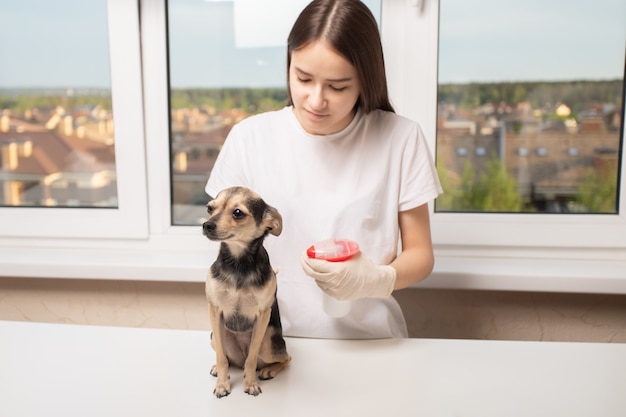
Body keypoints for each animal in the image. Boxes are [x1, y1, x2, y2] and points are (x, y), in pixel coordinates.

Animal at [202, 185, 290, 396]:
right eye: (210, 208)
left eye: (237, 213)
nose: (206, 225)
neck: (238, 263)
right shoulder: (214, 310)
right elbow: (221, 358)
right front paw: (223, 384)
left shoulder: (263, 314)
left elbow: (251, 358)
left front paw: (250, 384)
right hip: (216, 336)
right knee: (227, 357)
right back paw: (219, 369)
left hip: (268, 343)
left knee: (284, 358)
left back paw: (269, 370)